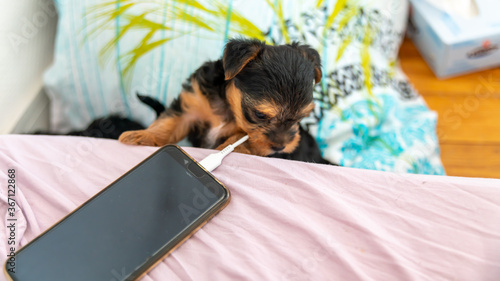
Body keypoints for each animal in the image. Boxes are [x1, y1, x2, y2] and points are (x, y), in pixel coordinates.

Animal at [118, 38, 320, 158]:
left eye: (301, 118)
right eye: (260, 115)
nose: (280, 146)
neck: (228, 105)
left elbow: (241, 138)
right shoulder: (193, 105)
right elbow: (169, 123)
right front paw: (143, 135)